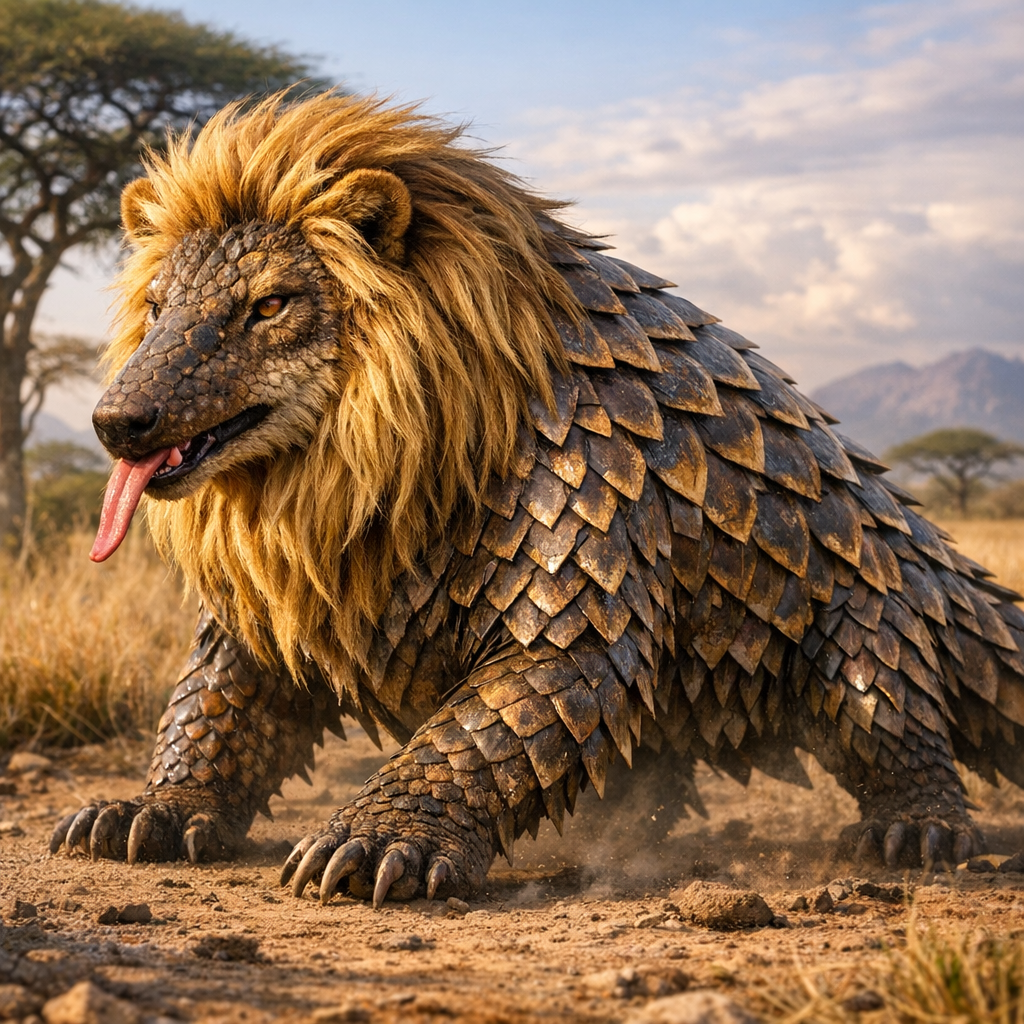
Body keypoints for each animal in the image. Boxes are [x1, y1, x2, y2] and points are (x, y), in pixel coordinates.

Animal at [51, 91, 1024, 906]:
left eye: (270, 305)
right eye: (157, 305)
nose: (117, 422)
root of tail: (903, 524)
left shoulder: (582, 522)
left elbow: (497, 720)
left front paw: (376, 842)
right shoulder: (277, 599)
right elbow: (219, 700)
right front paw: (148, 810)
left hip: (866, 624)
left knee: (900, 729)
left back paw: (917, 832)